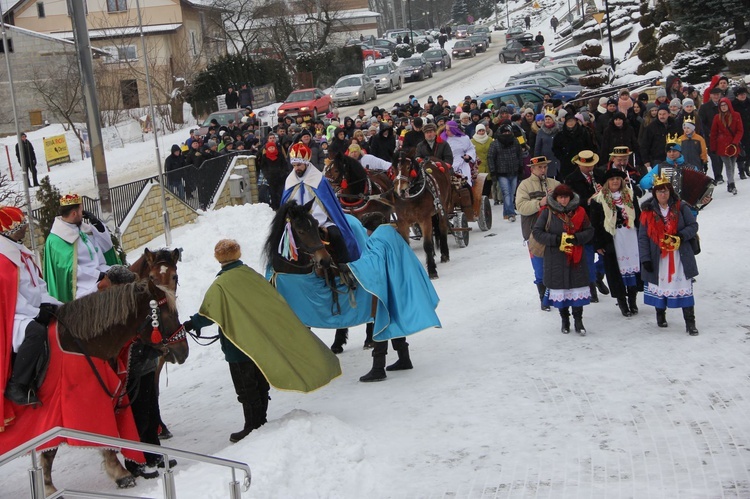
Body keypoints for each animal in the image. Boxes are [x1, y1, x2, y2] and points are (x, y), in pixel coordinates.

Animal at [5, 282, 182, 496]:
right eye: (168, 315)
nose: (183, 350)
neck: (79, 344)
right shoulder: (68, 410)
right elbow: (62, 447)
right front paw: (121, 474)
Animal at [382, 150, 458, 280]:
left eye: (408, 167)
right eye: (393, 168)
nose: (400, 190)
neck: (410, 197)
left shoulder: (424, 219)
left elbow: (427, 244)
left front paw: (432, 270)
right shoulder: (402, 222)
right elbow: (406, 245)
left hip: (443, 207)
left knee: (442, 228)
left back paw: (444, 254)